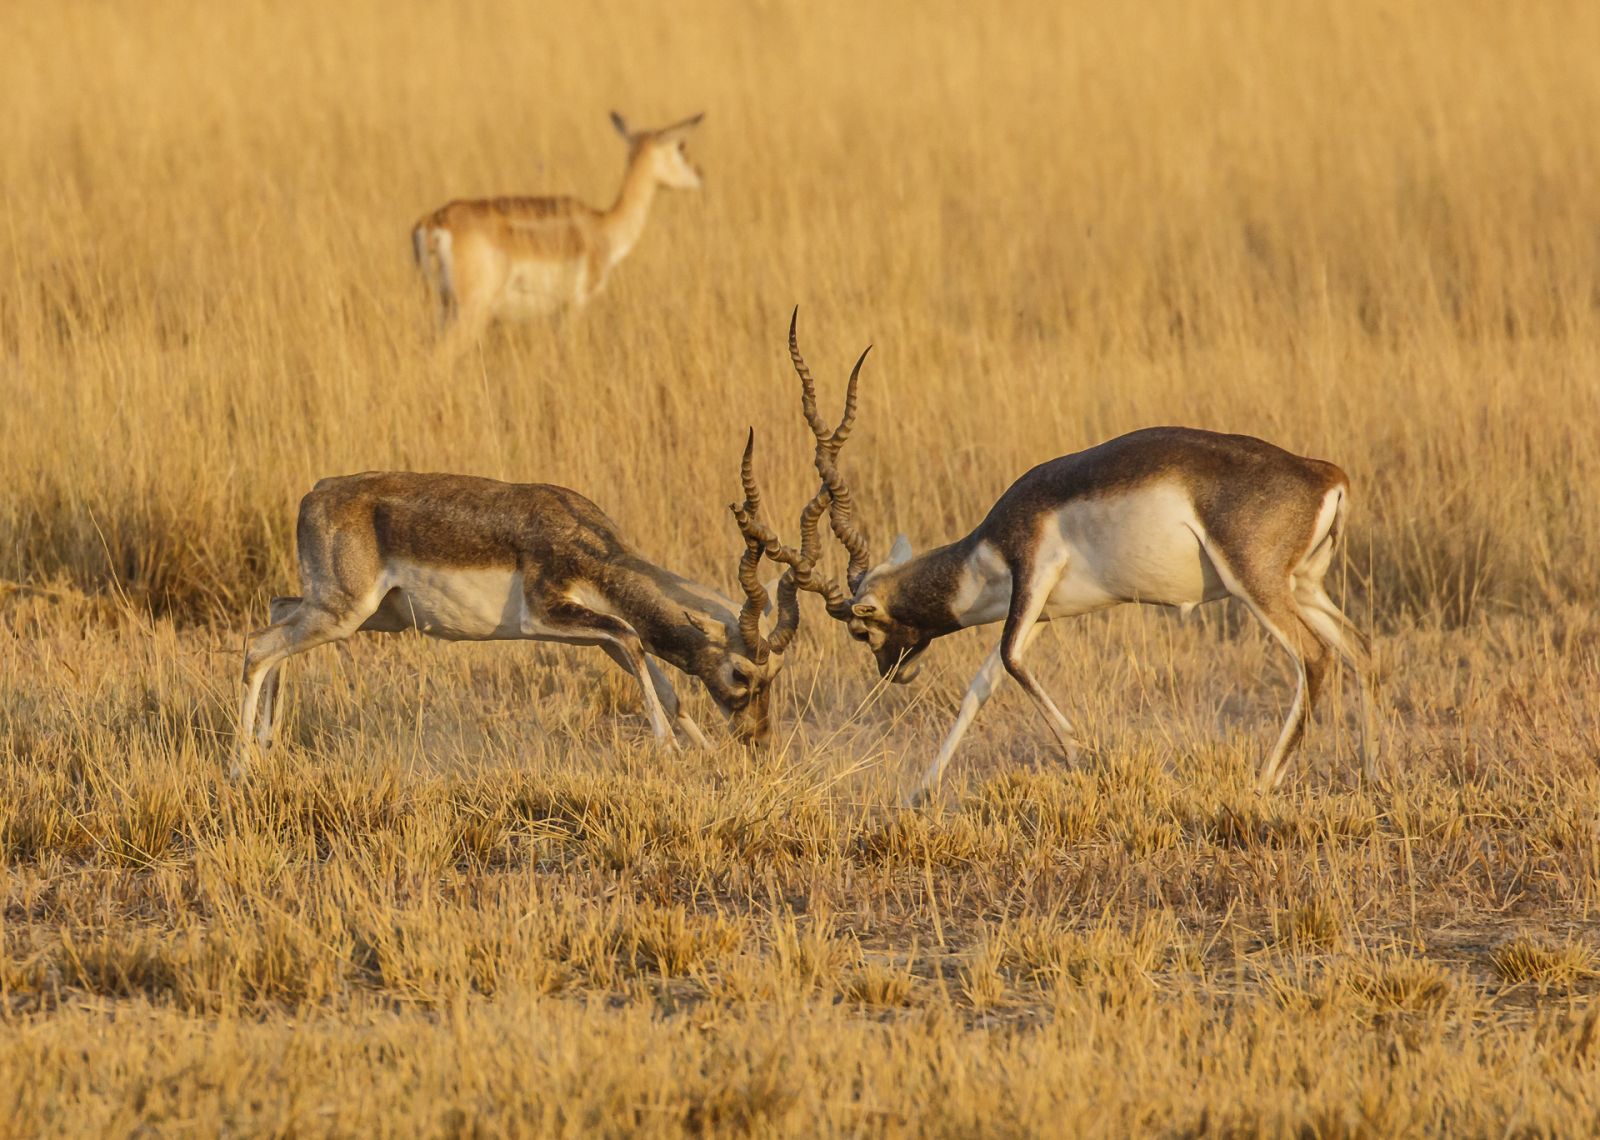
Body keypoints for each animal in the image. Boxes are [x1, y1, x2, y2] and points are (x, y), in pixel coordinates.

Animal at [235, 445, 812, 774]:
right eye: (741, 674)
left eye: (774, 677)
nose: (758, 740)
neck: (587, 542)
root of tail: (316, 492)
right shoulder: (547, 615)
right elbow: (632, 640)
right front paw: (671, 753)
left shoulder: (595, 630)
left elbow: (658, 677)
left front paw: (708, 758)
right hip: (344, 613)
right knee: (257, 646)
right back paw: (241, 770)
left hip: (367, 612)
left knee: (277, 609)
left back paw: (266, 747)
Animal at [412, 110, 707, 355]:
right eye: (680, 146)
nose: (700, 174)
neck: (603, 226)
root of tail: (435, 221)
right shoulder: (575, 305)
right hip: (471, 312)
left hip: (443, 307)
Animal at [758, 313, 1376, 800]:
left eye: (860, 630)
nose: (893, 673)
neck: (987, 547)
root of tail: (1326, 475)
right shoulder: (1042, 610)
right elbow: (980, 686)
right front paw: (918, 794)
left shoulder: (1032, 572)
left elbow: (1010, 660)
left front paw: (1086, 756)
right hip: (1303, 587)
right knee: (1361, 650)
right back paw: (1369, 775)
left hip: (1257, 585)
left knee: (1315, 656)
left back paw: (1264, 781)